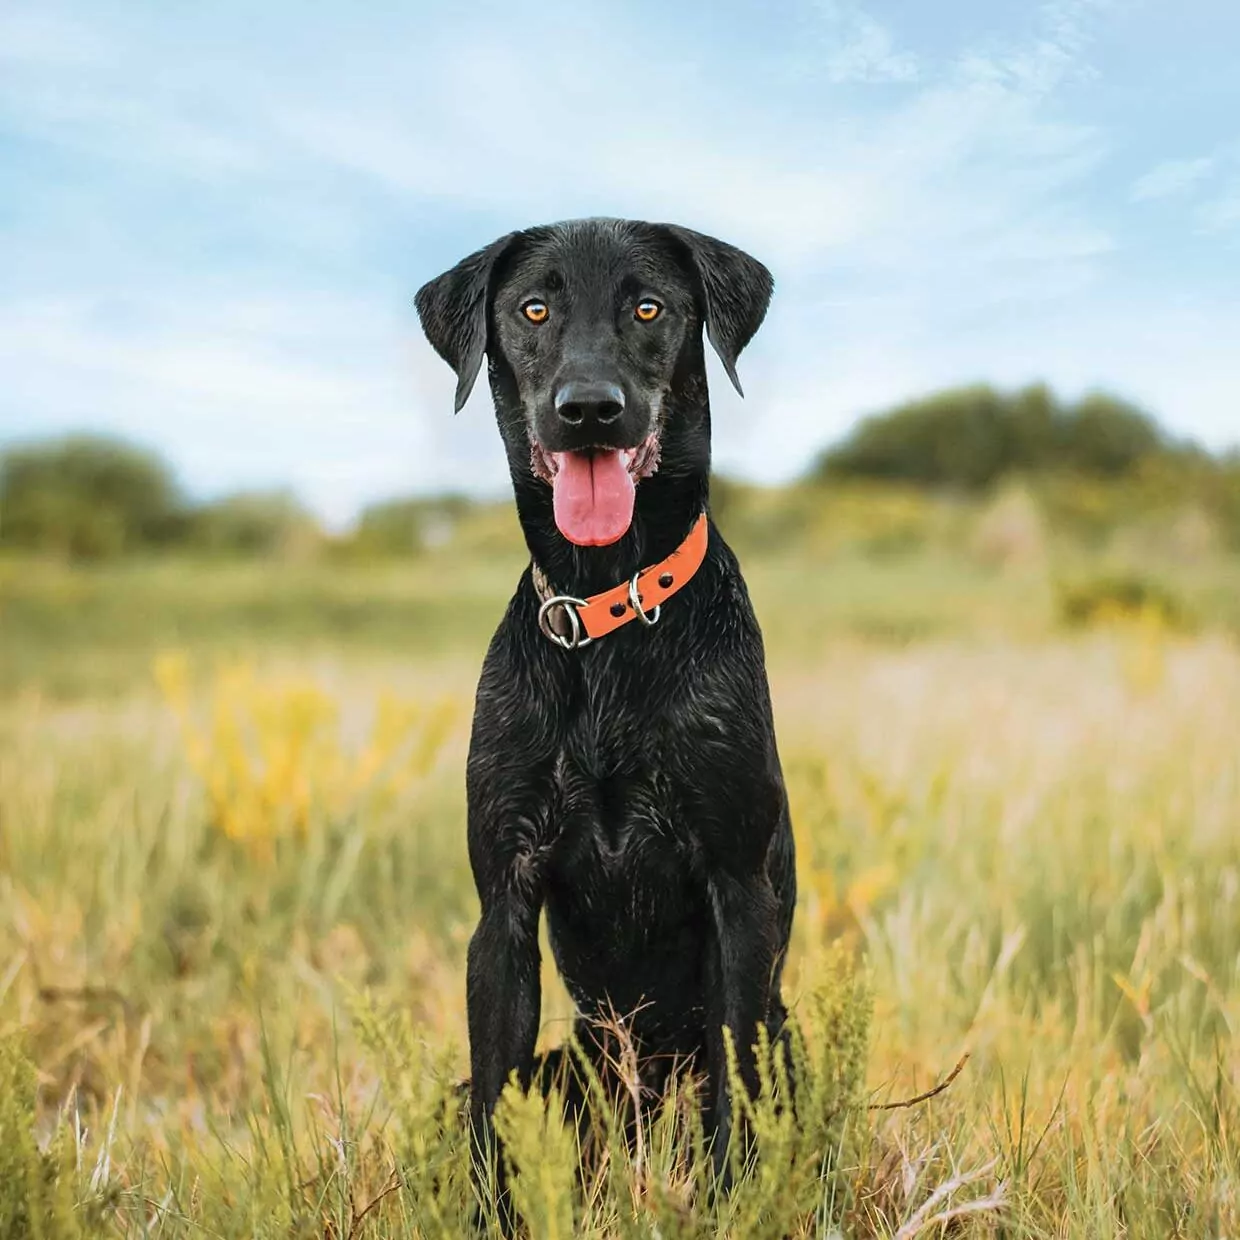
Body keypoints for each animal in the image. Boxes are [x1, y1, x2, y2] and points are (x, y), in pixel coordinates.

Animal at [416, 215, 798, 1220]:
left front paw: (730, 1207)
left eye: (650, 307)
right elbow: (492, 1104)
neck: (610, 607)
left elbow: (734, 1092)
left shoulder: (739, 891)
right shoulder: (502, 904)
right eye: (532, 309)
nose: (588, 408)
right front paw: (491, 1220)